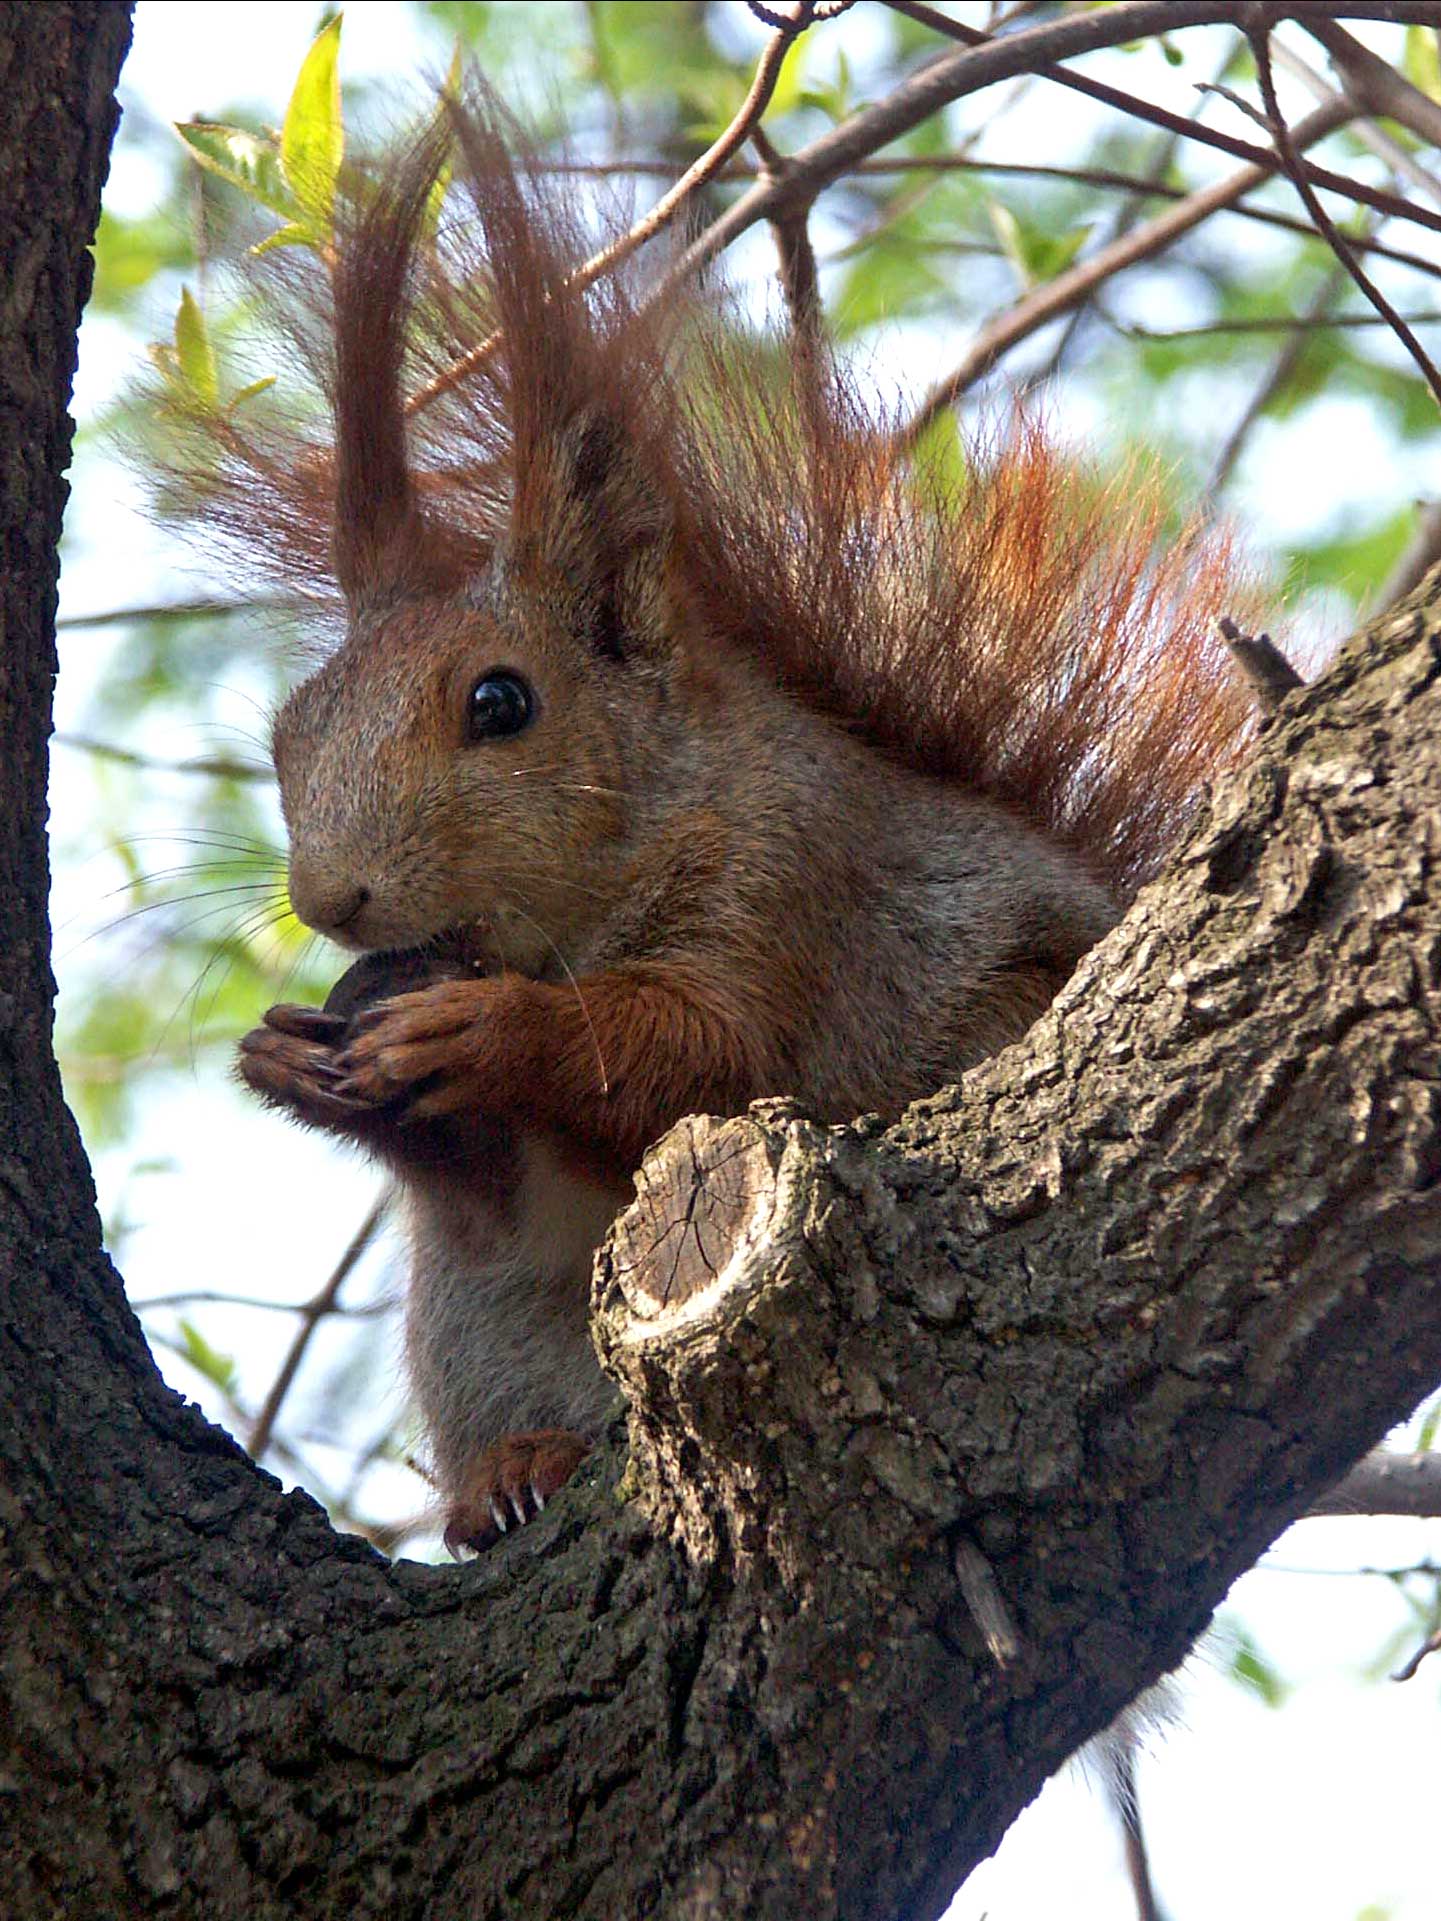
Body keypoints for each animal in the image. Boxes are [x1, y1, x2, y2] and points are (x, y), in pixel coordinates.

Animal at [157, 97, 1252, 1552]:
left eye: (500, 702)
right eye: (287, 729)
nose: (331, 901)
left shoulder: (788, 879)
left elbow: (700, 1051)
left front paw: (486, 1032)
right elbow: (498, 1165)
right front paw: (287, 1061)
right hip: (476, 1322)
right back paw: (514, 1472)